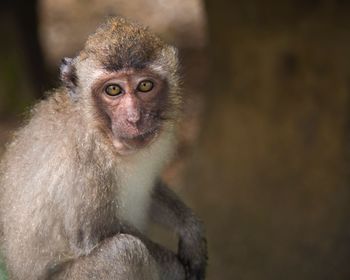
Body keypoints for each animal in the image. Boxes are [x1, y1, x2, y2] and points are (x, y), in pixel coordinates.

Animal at [0, 17, 208, 280]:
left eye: (145, 85)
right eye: (113, 90)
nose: (134, 118)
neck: (103, 136)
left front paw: (190, 231)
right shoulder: (84, 165)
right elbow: (96, 236)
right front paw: (174, 268)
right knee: (125, 252)